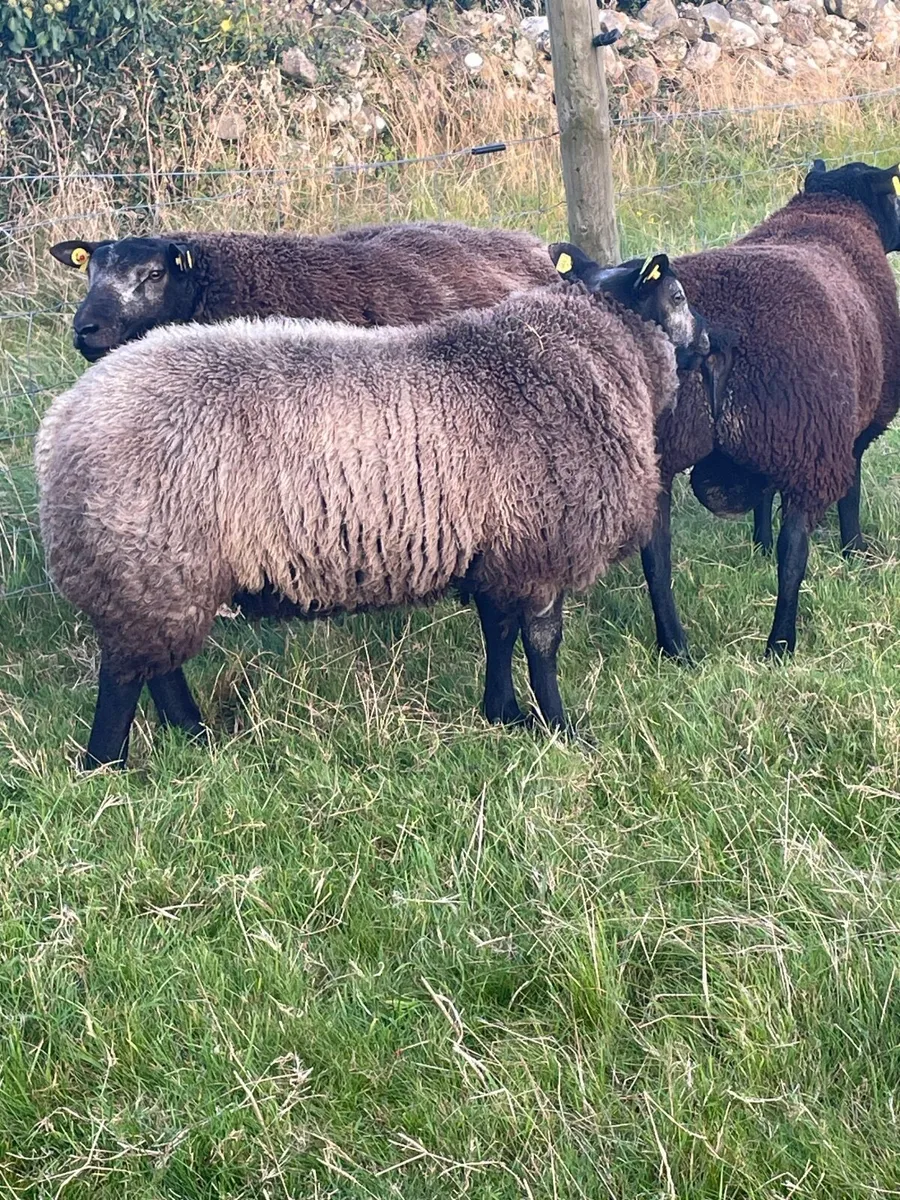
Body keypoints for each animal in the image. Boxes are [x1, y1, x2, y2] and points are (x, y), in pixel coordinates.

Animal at [36, 245, 713, 768]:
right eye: (678, 295)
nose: (711, 341)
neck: (585, 351)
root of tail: (63, 422)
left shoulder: (499, 549)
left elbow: (497, 630)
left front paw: (503, 714)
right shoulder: (542, 547)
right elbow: (543, 644)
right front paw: (562, 729)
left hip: (158, 572)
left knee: (157, 665)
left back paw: (193, 736)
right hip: (146, 560)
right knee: (124, 675)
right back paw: (108, 768)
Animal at [629, 158, 900, 660]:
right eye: (894, 196)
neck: (829, 211)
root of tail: (713, 336)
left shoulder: (774, 440)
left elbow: (761, 494)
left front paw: (758, 543)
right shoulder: (846, 429)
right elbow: (850, 491)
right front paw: (855, 550)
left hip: (660, 450)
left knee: (656, 557)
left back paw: (676, 648)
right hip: (809, 439)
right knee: (794, 554)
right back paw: (780, 643)